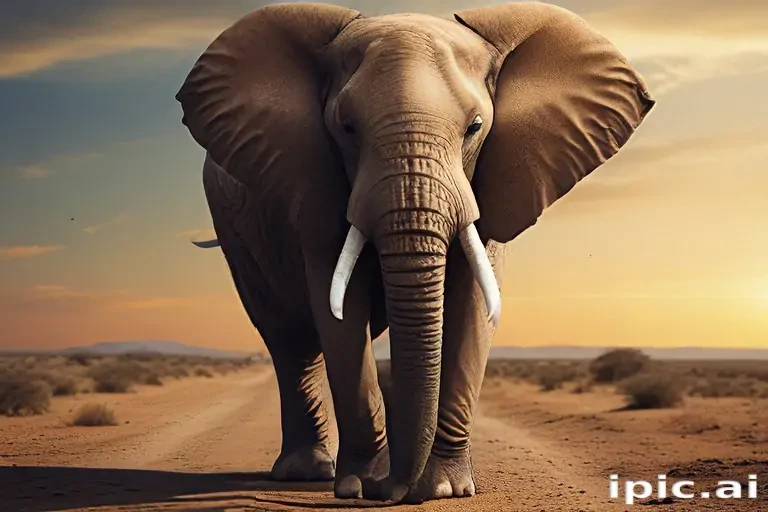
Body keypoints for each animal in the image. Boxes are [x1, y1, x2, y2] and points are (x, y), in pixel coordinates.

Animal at [175, 1, 654, 504]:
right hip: (236, 233)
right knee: (289, 339)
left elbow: (471, 308)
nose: (395, 490)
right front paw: (359, 486)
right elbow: (341, 313)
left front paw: (444, 489)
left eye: (475, 127)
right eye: (346, 127)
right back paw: (307, 473)